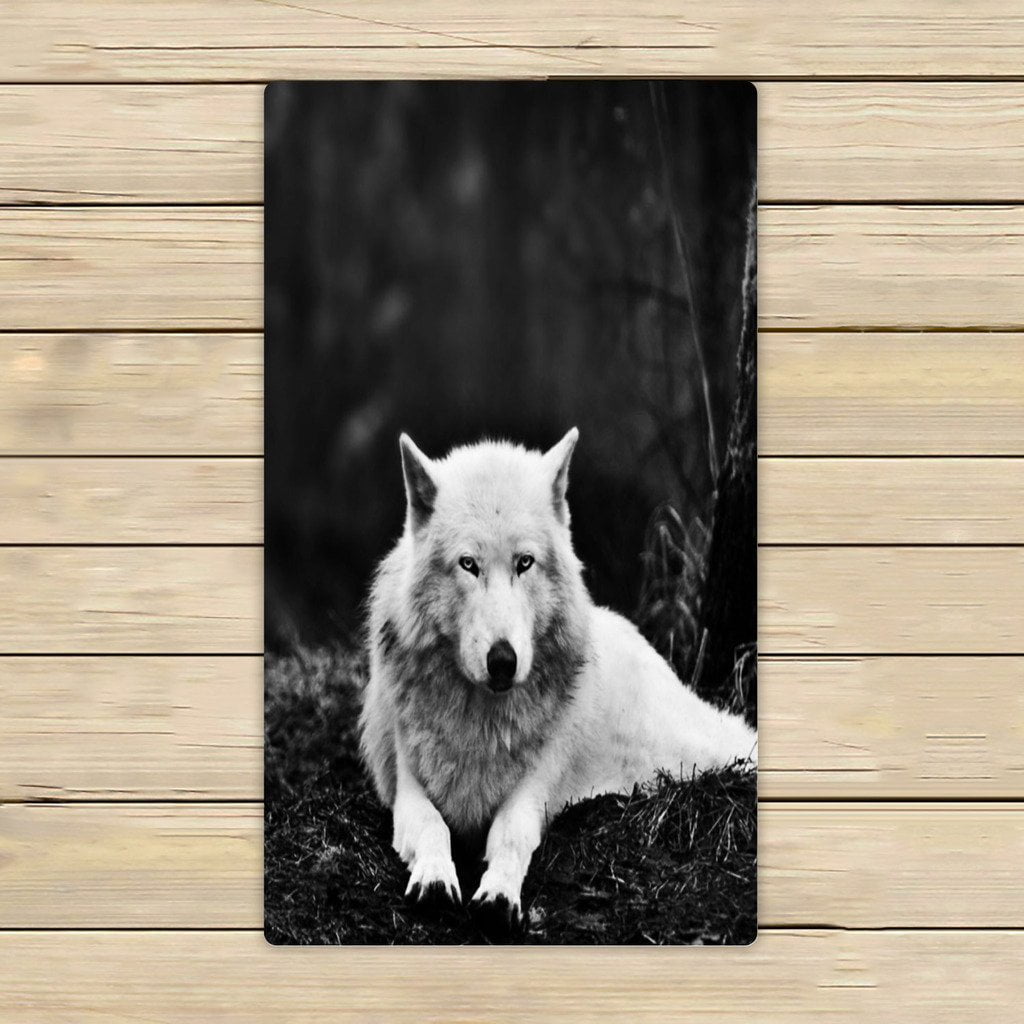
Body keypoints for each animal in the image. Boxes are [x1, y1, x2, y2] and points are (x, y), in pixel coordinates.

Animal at [359, 428, 756, 936]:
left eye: (525, 562)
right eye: (468, 564)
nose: (503, 660)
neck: (481, 720)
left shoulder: (534, 788)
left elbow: (511, 835)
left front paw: (498, 895)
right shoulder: (407, 784)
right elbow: (432, 826)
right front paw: (434, 878)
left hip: (692, 751)